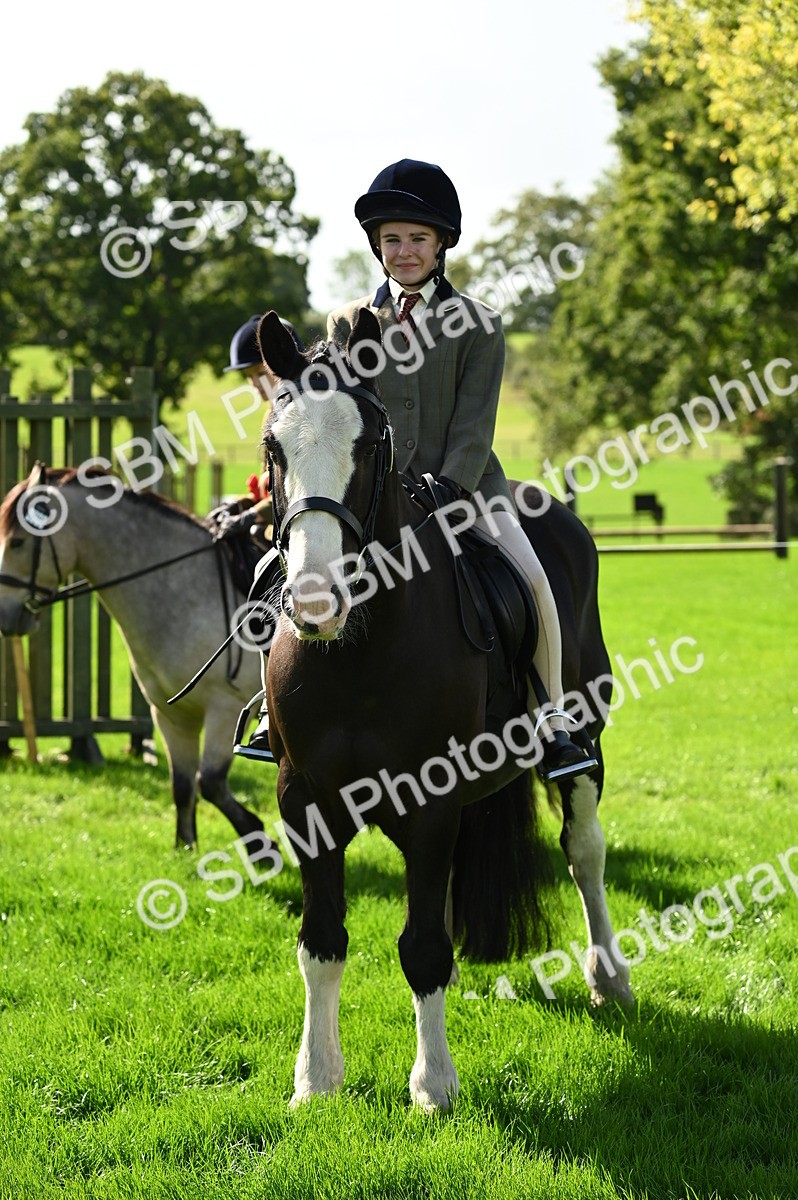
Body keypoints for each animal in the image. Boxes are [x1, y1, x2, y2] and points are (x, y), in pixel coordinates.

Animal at [0, 465, 265, 849]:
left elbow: (211, 782)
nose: (5, 616)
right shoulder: (171, 715)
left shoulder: (225, 709)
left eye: (18, 542)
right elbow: (183, 785)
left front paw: (261, 842)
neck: (185, 596)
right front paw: (186, 847)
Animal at [253, 309, 634, 1113]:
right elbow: (320, 942)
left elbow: (421, 946)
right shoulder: (304, 802)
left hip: (585, 740)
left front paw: (433, 1086)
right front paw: (317, 1079)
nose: (314, 602)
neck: (359, 651)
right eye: (274, 447)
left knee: (584, 851)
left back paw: (609, 978)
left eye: (372, 444)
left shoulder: (429, 800)